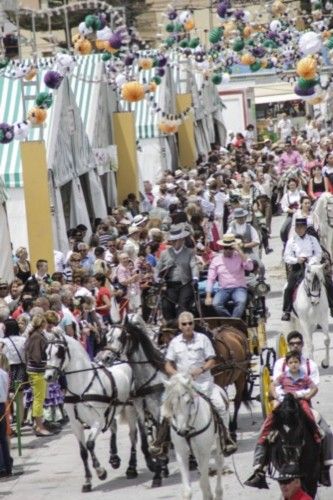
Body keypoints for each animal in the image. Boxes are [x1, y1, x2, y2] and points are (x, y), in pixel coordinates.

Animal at [44, 334, 132, 490]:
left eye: (59, 352)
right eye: (46, 352)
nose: (48, 376)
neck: (82, 386)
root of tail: (121, 360)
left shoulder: (97, 421)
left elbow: (90, 444)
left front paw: (100, 472)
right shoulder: (76, 425)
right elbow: (83, 451)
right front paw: (87, 481)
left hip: (127, 409)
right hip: (109, 411)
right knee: (114, 427)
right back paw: (114, 458)